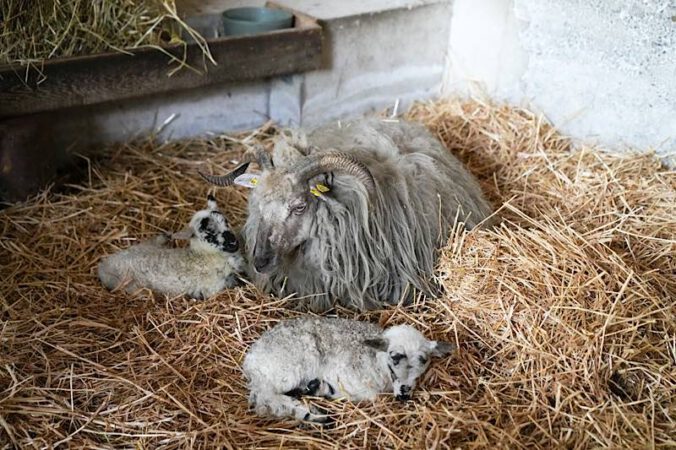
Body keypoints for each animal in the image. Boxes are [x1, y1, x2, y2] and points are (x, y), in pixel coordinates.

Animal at [98, 195, 245, 299]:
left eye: (226, 222)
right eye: (208, 235)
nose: (233, 242)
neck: (203, 257)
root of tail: (103, 265)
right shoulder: (213, 286)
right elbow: (232, 281)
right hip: (124, 283)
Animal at [242, 317, 455, 424]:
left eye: (423, 363)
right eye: (394, 358)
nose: (404, 395)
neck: (374, 362)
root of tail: (251, 360)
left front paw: (316, 388)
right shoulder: (345, 376)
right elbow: (364, 395)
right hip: (287, 367)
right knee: (264, 399)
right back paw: (313, 415)